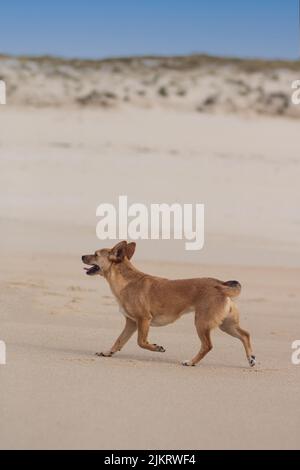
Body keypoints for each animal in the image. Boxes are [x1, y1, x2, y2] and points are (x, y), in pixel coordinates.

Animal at [82, 242, 255, 368]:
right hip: (226, 325)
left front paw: (156, 347)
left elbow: (141, 342)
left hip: (201, 323)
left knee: (207, 345)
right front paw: (108, 352)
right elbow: (119, 341)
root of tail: (221, 284)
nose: (82, 256)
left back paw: (191, 362)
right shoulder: (131, 323)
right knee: (245, 335)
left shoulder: (143, 320)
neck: (125, 281)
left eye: (95, 254)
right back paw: (251, 358)